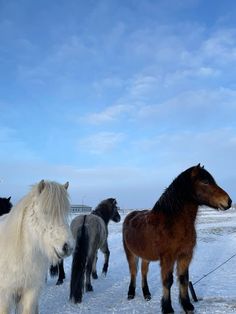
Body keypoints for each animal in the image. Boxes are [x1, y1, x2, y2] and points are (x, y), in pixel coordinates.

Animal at [122, 164, 231, 314]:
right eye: (205, 182)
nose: (228, 201)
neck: (173, 223)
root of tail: (130, 216)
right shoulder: (168, 257)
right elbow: (168, 281)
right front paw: (167, 308)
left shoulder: (185, 255)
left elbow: (183, 279)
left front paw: (187, 306)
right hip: (131, 253)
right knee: (133, 272)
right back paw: (131, 294)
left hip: (145, 255)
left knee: (144, 272)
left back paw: (147, 294)